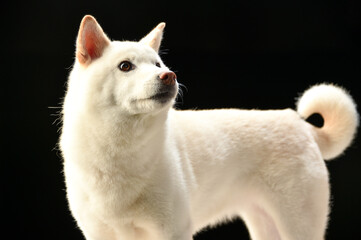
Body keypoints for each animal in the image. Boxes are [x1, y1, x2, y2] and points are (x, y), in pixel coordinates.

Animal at [59, 15, 358, 240]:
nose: (168, 76)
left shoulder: (173, 231)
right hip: (264, 223)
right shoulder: (99, 234)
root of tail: (300, 124)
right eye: (125, 66)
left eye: (157, 64)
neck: (120, 154)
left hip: (299, 224)